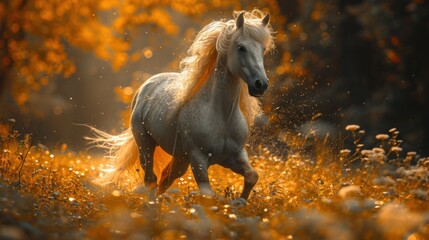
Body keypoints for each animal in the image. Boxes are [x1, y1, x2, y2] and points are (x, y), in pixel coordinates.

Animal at [89, 9, 274, 201]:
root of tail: (145, 87)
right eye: (241, 47)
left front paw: (240, 202)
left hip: (180, 159)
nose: (261, 84)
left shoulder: (234, 155)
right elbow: (207, 195)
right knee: (151, 180)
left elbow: (252, 176)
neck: (222, 116)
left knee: (164, 179)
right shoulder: (198, 160)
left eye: (263, 49)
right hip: (146, 147)